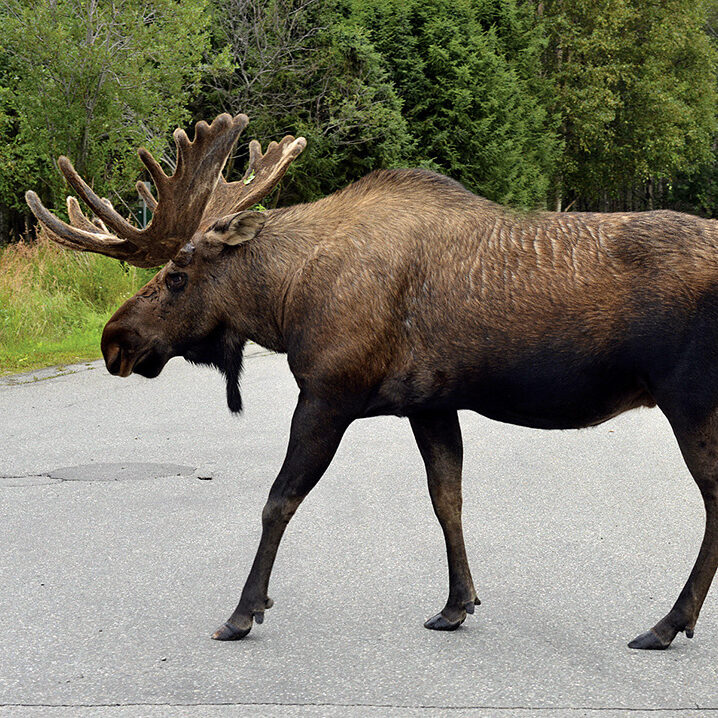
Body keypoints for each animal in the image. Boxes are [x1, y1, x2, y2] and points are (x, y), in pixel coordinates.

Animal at [25, 114, 718, 652]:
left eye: (176, 275)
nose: (114, 340)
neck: (284, 300)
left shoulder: (328, 392)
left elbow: (278, 499)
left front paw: (243, 612)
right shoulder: (430, 403)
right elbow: (447, 498)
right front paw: (456, 604)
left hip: (689, 399)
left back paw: (667, 623)